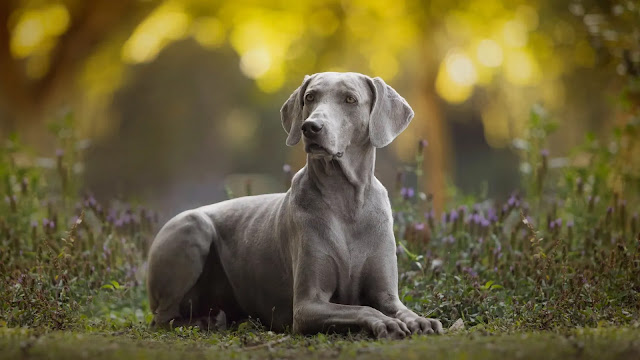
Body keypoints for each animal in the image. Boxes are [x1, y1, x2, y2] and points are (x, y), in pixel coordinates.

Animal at [147, 72, 442, 338]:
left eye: (350, 99)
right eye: (310, 97)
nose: (311, 127)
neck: (346, 200)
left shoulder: (386, 294)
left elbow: (402, 310)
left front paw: (421, 321)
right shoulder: (307, 305)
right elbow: (364, 309)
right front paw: (387, 323)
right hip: (193, 226)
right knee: (163, 318)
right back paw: (201, 322)